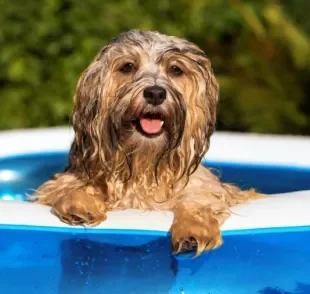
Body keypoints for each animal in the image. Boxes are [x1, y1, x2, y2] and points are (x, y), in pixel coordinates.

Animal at [34, 28, 260, 256]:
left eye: (175, 69)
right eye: (127, 66)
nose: (155, 93)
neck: (143, 163)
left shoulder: (202, 186)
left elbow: (198, 200)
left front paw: (194, 229)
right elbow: (67, 187)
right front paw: (79, 204)